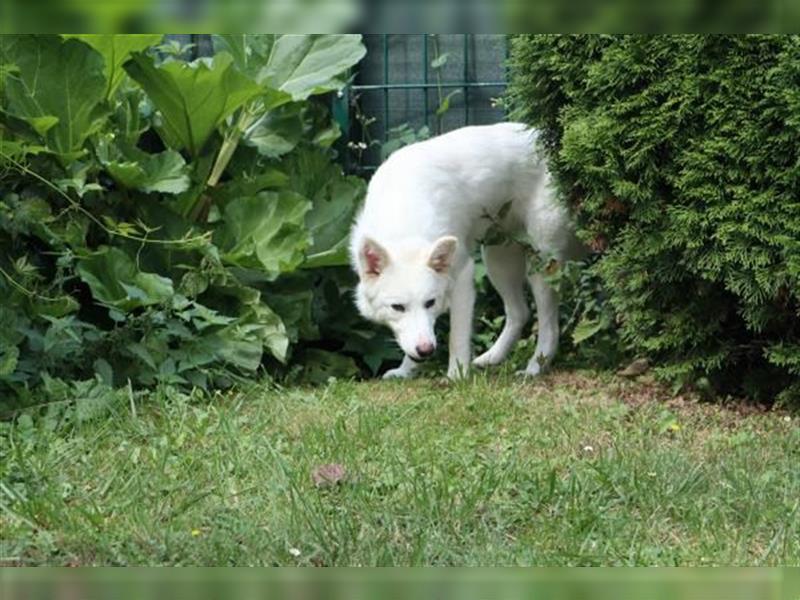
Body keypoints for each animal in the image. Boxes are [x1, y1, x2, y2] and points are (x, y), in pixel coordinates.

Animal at [350, 123, 580, 380]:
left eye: (430, 302)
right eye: (397, 307)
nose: (426, 351)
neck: (403, 227)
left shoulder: (462, 276)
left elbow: (456, 337)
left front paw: (456, 377)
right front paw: (405, 371)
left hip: (541, 265)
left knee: (549, 325)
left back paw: (535, 368)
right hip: (497, 261)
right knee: (520, 312)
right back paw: (492, 357)